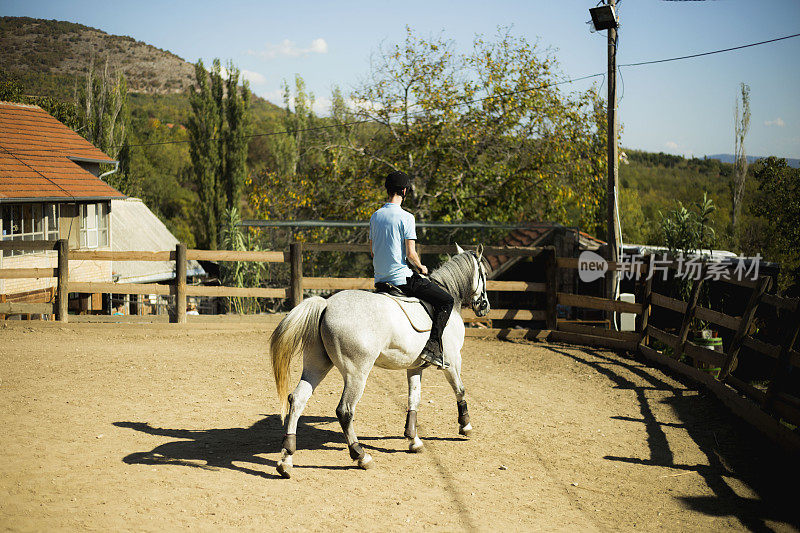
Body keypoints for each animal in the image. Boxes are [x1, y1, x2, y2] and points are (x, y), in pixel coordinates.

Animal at [272, 243, 490, 476]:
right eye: (484, 274)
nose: (484, 306)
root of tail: (326, 305)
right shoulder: (452, 361)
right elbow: (460, 390)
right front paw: (465, 425)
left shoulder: (414, 368)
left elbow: (414, 399)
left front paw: (413, 440)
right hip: (357, 373)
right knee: (345, 411)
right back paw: (361, 455)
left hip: (316, 366)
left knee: (297, 399)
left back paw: (286, 459)